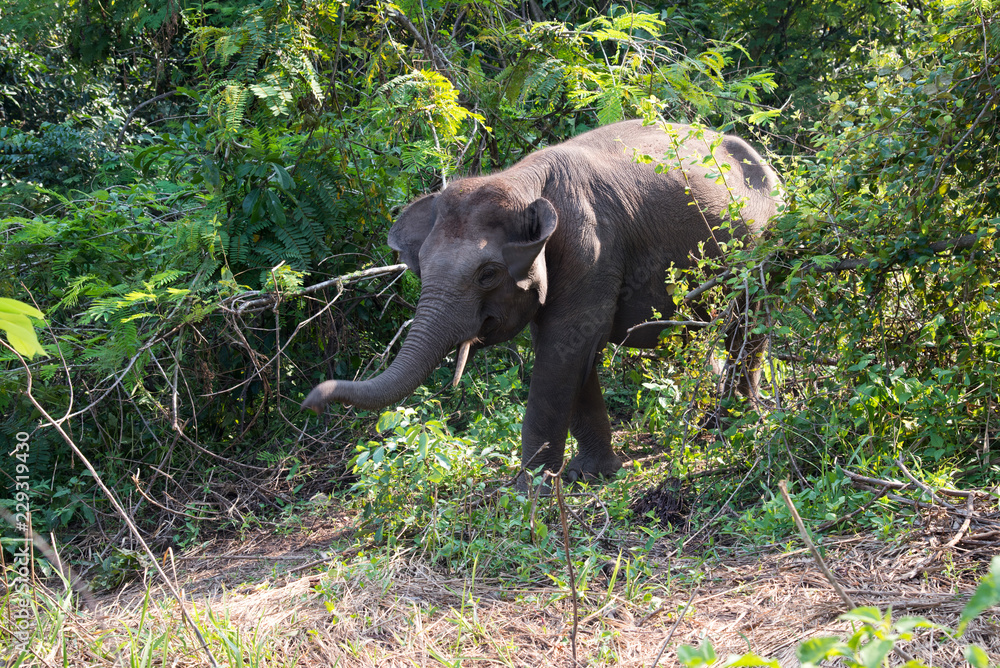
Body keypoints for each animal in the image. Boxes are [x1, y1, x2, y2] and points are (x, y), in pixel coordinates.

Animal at [303, 119, 782, 486]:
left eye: (488, 274)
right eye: (420, 269)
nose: (312, 402)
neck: (519, 179)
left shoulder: (592, 250)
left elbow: (564, 348)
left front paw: (528, 491)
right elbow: (570, 352)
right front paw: (589, 475)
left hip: (763, 241)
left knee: (747, 322)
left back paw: (733, 423)